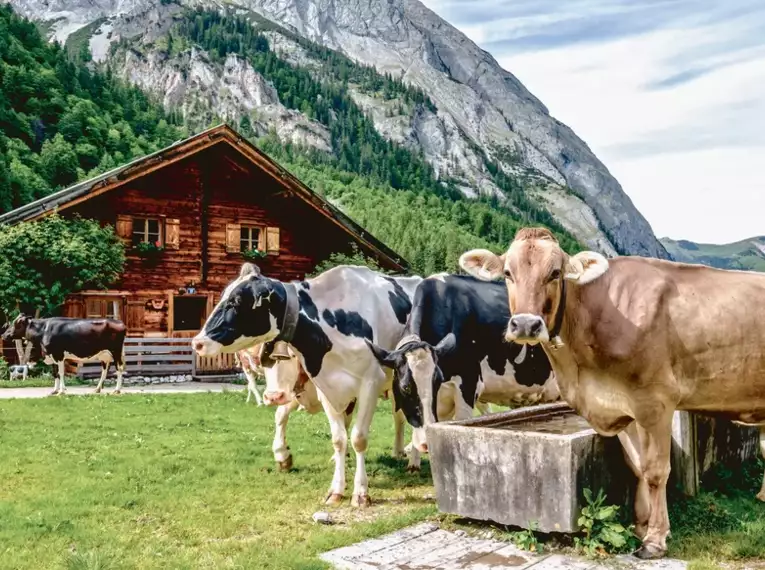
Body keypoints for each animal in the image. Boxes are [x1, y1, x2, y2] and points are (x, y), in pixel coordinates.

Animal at [190, 262, 418, 506]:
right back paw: (398, 451)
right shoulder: (326, 388)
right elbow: (338, 438)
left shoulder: (370, 383)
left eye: (237, 300)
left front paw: (360, 493)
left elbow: (358, 438)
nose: (197, 342)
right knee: (398, 417)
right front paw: (335, 488)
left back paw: (412, 459)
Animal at [456, 225, 764, 556]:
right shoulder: (622, 408)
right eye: (508, 273)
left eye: (555, 272)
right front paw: (641, 526)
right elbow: (637, 467)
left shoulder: (655, 402)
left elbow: (656, 471)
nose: (526, 324)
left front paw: (655, 539)